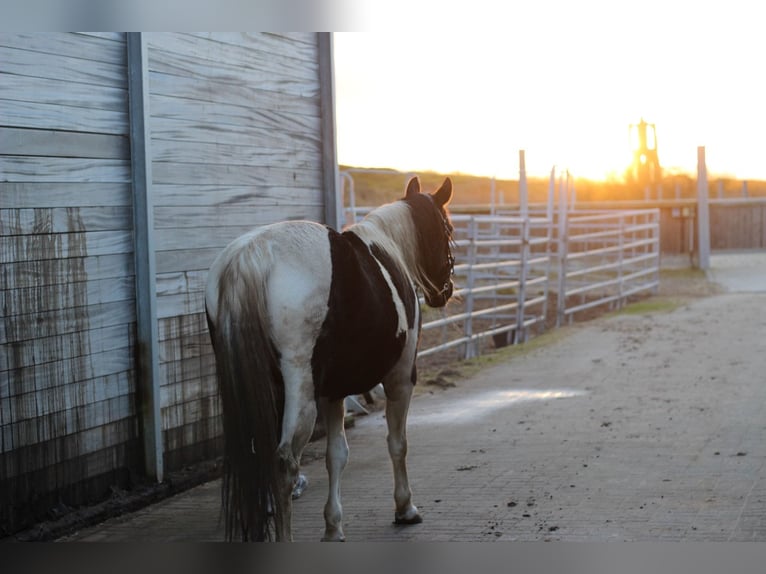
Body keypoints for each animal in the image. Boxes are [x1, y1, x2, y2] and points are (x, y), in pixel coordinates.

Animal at [204, 178, 456, 544]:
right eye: (447, 228)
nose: (446, 290)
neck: (388, 250)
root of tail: (252, 257)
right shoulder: (400, 378)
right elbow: (398, 443)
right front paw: (405, 508)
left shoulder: (333, 393)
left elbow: (336, 455)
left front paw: (333, 526)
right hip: (300, 391)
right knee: (284, 463)